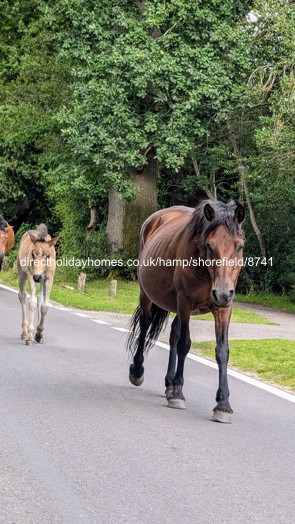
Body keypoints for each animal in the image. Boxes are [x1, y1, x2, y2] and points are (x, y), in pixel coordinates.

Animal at [127, 199, 245, 424]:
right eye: (209, 245)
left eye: (240, 246)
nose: (222, 293)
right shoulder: (185, 302)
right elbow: (184, 344)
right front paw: (178, 394)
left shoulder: (224, 308)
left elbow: (222, 351)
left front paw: (223, 405)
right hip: (148, 295)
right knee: (146, 325)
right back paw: (138, 371)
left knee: (173, 334)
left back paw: (169, 384)